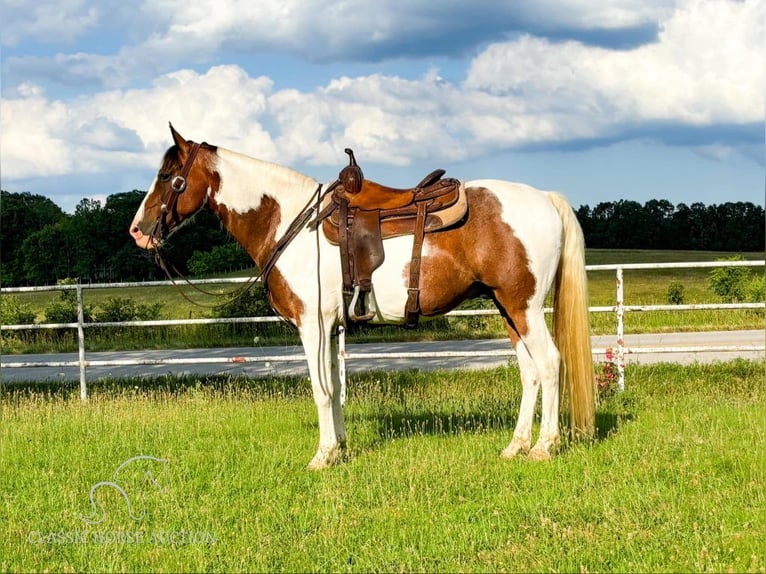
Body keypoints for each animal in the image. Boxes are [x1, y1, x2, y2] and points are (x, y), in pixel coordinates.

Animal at [130, 124, 600, 470]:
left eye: (168, 177)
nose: (137, 231)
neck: (292, 223)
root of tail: (545, 198)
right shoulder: (328, 327)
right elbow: (335, 386)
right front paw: (338, 446)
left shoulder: (311, 324)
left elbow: (320, 388)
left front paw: (322, 456)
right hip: (508, 309)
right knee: (530, 372)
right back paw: (515, 446)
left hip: (524, 307)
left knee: (550, 363)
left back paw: (543, 447)